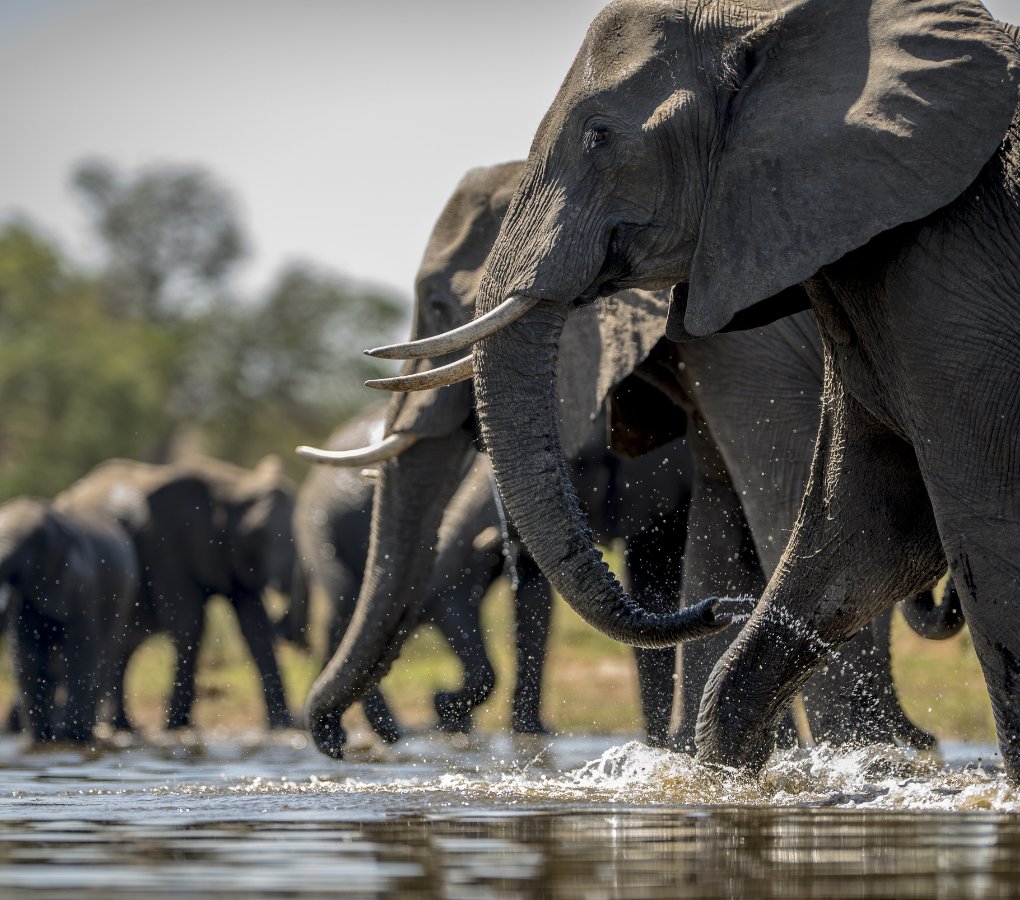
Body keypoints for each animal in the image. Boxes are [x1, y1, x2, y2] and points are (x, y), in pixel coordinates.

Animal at [0, 497, 138, 743]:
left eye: (31, 546)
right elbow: (27, 655)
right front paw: (40, 738)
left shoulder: (83, 586)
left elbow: (80, 650)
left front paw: (72, 736)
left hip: (124, 598)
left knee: (105, 657)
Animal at [55, 454, 298, 731]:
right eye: (257, 534)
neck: (232, 486)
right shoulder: (166, 545)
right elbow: (188, 622)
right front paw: (176, 725)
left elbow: (255, 626)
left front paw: (281, 725)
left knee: (123, 645)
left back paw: (123, 726)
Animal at [296, 400, 691, 743]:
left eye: (575, 464)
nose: (438, 696)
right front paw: (450, 710)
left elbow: (538, 595)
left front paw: (525, 733)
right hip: (322, 525)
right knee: (344, 606)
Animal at [380, 3, 1020, 779]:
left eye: (598, 135)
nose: (723, 608)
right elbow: (864, 521)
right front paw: (719, 773)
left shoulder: (935, 285)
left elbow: (967, 519)